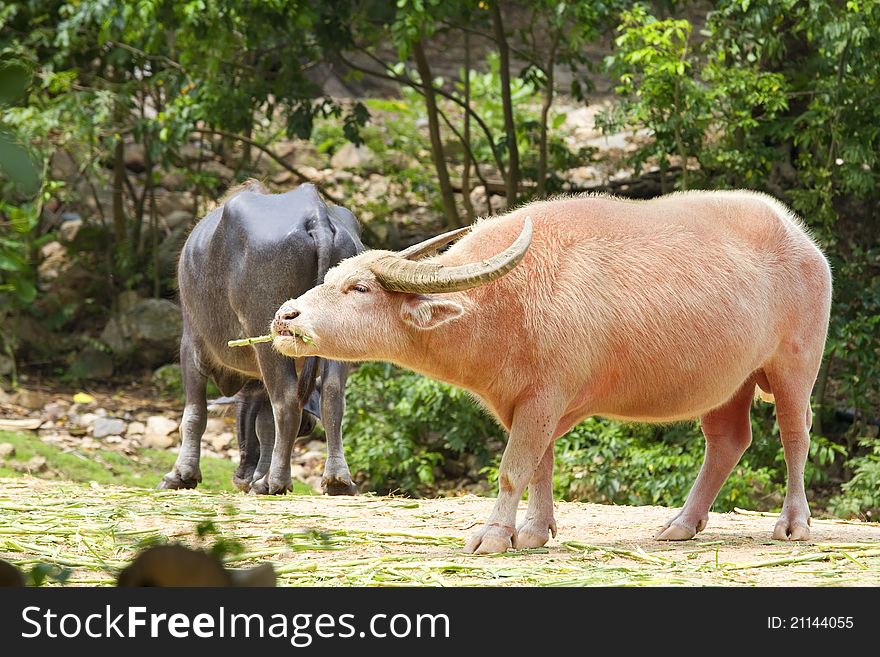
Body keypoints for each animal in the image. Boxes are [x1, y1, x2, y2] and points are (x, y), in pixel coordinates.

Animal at [158, 179, 360, 492]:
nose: (241, 475)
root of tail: (315, 214)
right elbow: (265, 425)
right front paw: (258, 476)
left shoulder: (191, 345)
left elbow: (195, 413)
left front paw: (181, 474)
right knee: (332, 395)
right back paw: (337, 480)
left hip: (267, 336)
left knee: (286, 402)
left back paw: (275, 481)